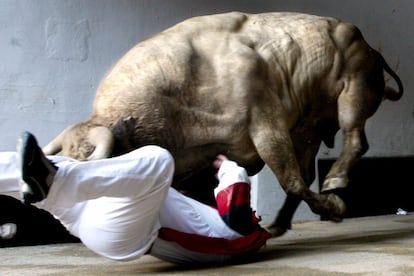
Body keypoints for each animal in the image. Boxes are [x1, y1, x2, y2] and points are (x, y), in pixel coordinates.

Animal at [43, 12, 402, 237]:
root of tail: (368, 45)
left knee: (354, 141)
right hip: (308, 130)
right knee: (309, 169)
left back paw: (335, 182)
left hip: (352, 93)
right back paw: (278, 224)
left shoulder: (267, 126)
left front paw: (335, 206)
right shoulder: (197, 161)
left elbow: (290, 179)